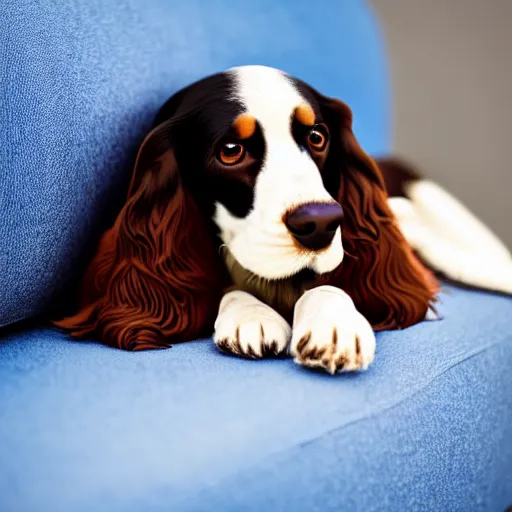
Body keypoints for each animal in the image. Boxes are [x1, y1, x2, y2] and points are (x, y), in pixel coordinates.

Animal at [55, 66, 512, 374]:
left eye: (317, 137)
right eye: (231, 150)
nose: (322, 223)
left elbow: (330, 285)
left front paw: (334, 327)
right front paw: (249, 315)